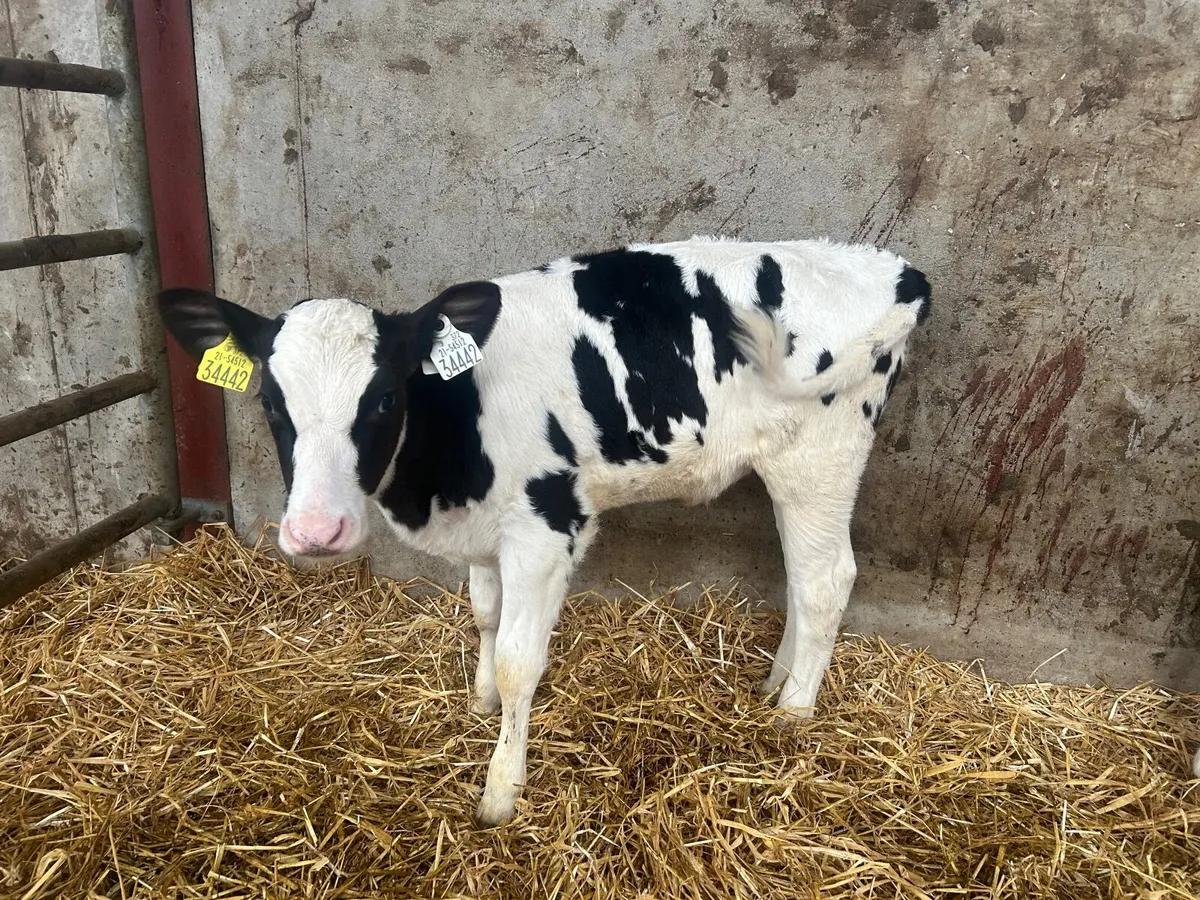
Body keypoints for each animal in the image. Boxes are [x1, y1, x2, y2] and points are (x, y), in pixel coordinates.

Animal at [157, 236, 932, 825]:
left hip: (823, 455)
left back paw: (794, 719)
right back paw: (775, 687)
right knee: (804, 582)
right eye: (269, 401)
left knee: (826, 580)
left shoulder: (545, 528)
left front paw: (501, 788)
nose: (316, 532)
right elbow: (483, 614)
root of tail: (892, 267)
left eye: (382, 398)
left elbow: (519, 659)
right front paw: (479, 703)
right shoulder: (484, 528)